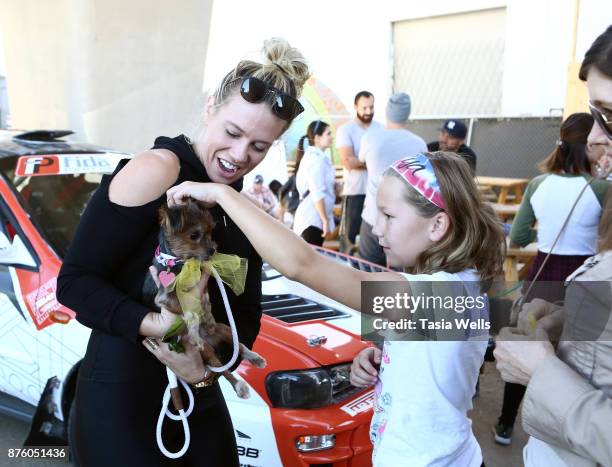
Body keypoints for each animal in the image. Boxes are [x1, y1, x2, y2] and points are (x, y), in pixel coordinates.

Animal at [146, 197, 268, 398]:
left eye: (211, 231)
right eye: (194, 235)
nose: (213, 250)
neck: (182, 262)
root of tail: (212, 342)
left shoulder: (203, 292)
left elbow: (206, 304)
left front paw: (207, 319)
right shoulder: (165, 298)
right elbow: (188, 310)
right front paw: (194, 327)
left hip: (225, 328)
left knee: (239, 347)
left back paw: (254, 358)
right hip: (206, 352)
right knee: (221, 369)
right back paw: (238, 384)